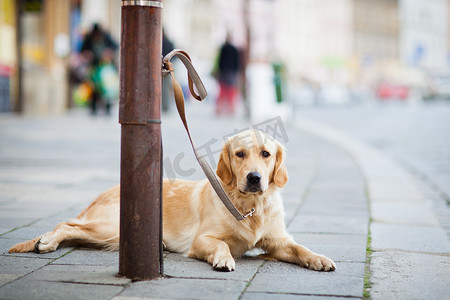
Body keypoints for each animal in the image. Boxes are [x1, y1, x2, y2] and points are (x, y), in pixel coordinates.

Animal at [8, 129, 336, 272]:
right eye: (240, 154)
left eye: (266, 154)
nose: (254, 178)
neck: (248, 207)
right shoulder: (202, 240)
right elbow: (220, 245)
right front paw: (224, 259)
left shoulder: (278, 241)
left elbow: (300, 247)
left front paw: (319, 258)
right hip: (111, 228)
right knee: (66, 224)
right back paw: (46, 242)